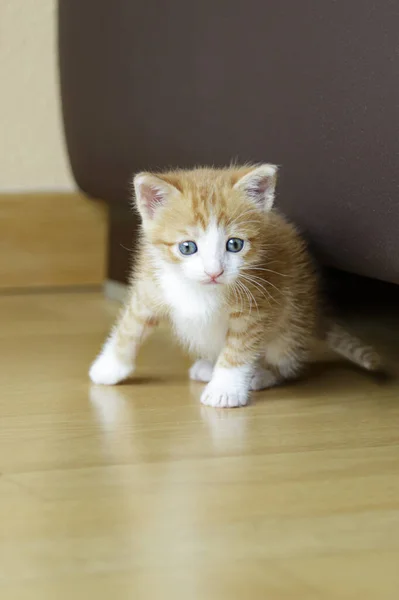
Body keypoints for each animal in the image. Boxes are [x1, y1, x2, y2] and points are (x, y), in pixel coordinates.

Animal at [90, 164, 382, 408]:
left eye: (235, 244)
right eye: (187, 247)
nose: (214, 272)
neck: (200, 289)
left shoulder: (257, 303)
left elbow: (239, 347)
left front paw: (225, 389)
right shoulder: (152, 284)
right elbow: (131, 325)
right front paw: (109, 367)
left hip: (291, 322)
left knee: (287, 362)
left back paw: (261, 375)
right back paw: (208, 366)